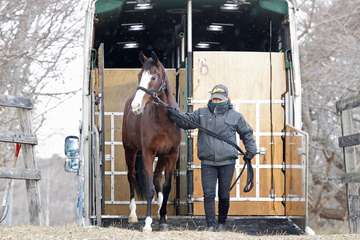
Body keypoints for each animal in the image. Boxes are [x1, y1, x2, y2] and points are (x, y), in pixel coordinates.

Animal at [122, 51, 181, 232]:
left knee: (156, 179)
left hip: (161, 157)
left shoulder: (171, 154)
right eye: (139, 75)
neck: (164, 120)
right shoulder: (148, 153)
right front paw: (147, 223)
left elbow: (166, 186)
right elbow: (149, 189)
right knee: (131, 177)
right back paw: (132, 215)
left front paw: (163, 219)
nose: (136, 106)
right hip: (130, 151)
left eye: (153, 77)